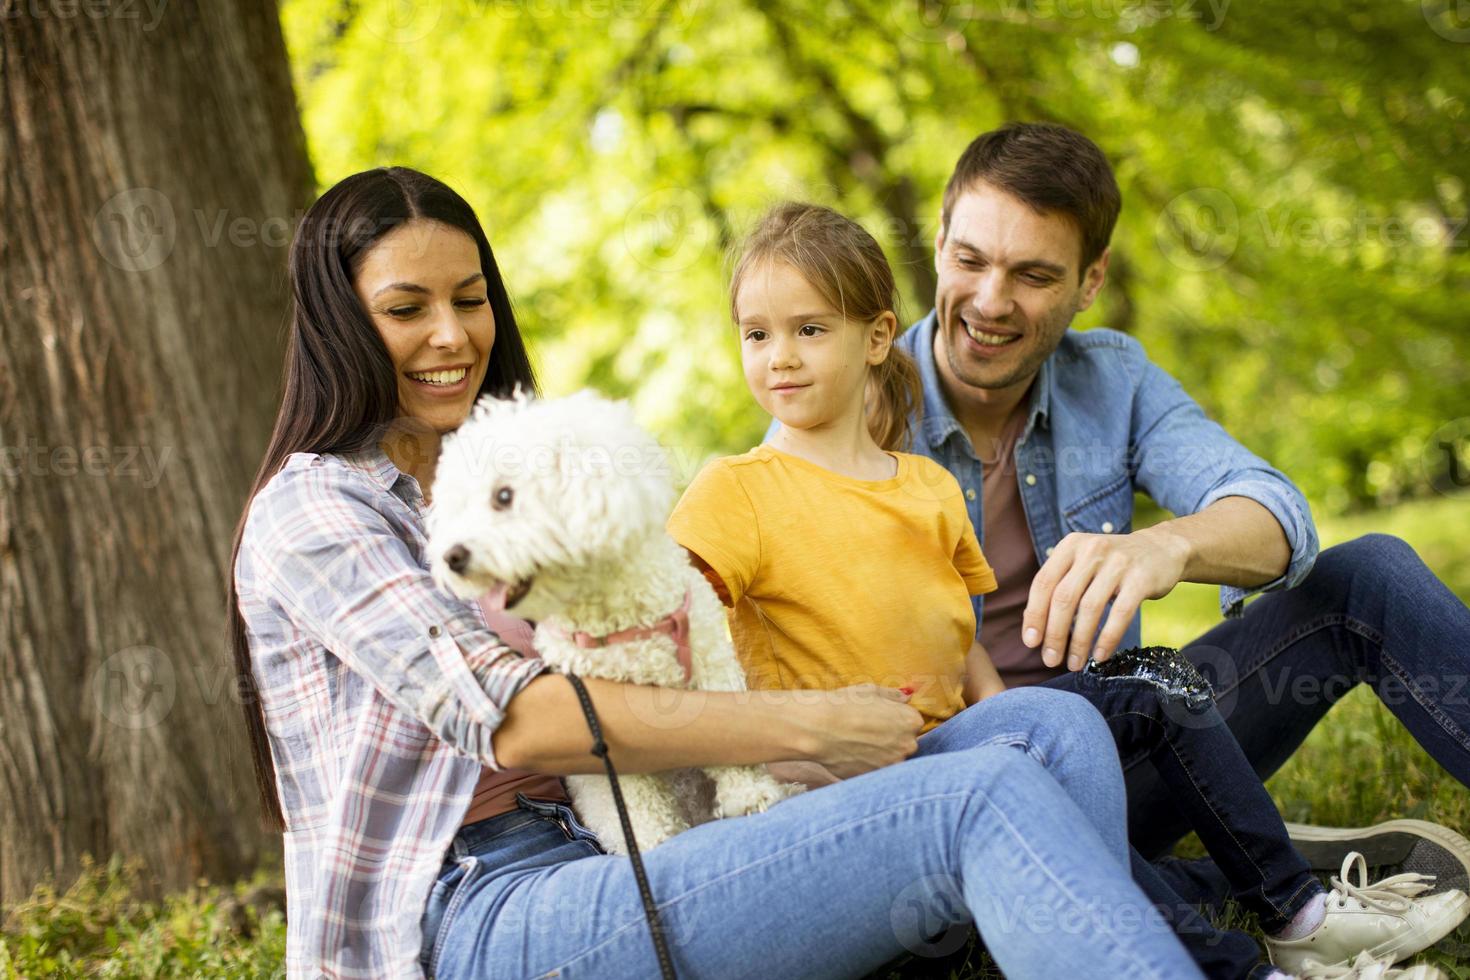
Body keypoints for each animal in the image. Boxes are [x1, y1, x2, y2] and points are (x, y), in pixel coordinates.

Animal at [426, 387, 799, 852]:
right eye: (456, 506)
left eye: (504, 496)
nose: (451, 557)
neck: (611, 613)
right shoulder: (604, 725)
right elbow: (636, 797)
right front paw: (654, 840)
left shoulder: (710, 670)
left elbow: (733, 743)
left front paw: (750, 795)